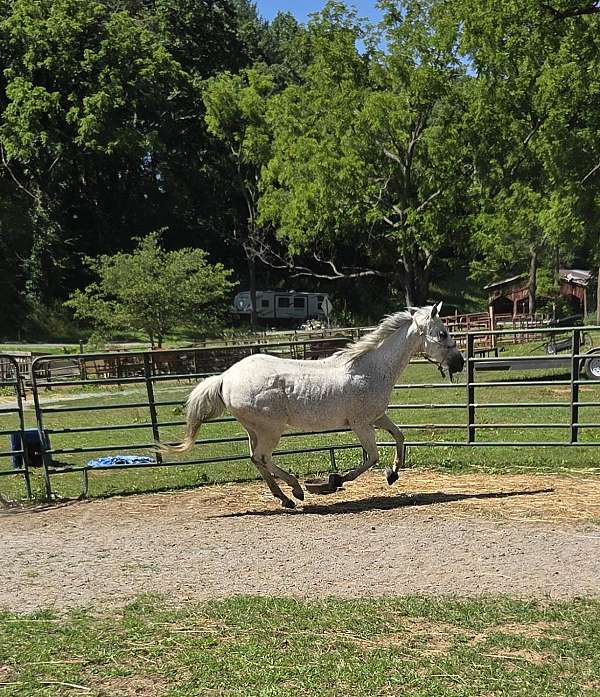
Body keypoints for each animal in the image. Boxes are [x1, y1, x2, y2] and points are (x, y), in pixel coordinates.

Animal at [161, 303, 464, 508]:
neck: (369, 369)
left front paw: (393, 473)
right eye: (442, 333)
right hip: (271, 430)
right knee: (263, 458)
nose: (459, 363)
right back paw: (296, 491)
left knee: (256, 459)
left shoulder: (377, 417)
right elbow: (372, 458)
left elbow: (400, 437)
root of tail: (225, 377)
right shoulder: (361, 424)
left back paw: (285, 498)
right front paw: (331, 483)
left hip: (254, 430)